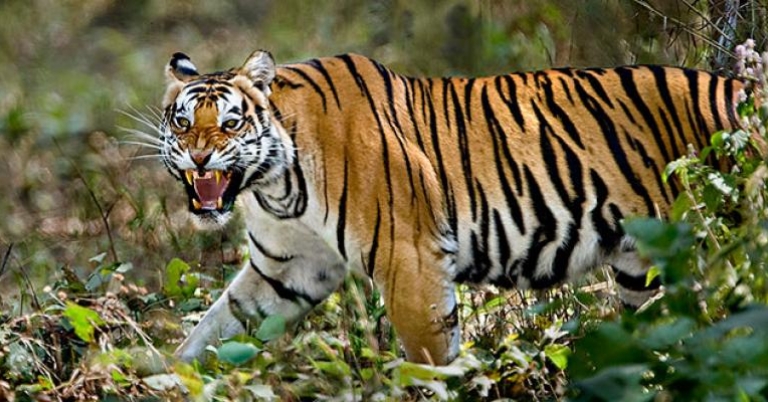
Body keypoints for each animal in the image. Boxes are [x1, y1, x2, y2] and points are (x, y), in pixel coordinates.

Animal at [157, 50, 742, 365]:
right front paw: (166, 378)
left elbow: (429, 359)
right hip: (646, 270)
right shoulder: (286, 269)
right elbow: (215, 328)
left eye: (230, 122)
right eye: (182, 122)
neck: (277, 185)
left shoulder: (409, 258)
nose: (199, 155)